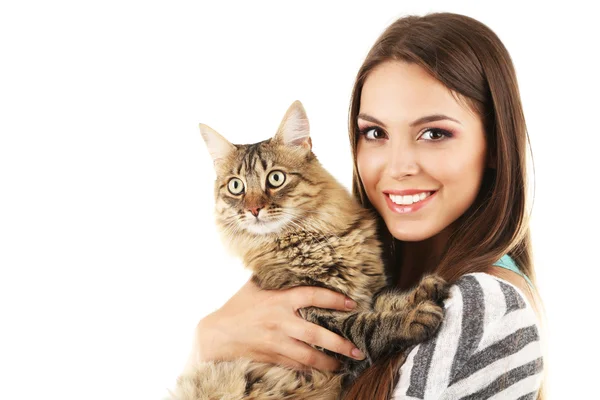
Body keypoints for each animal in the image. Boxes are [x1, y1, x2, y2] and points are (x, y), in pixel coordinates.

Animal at [170, 101, 450, 398]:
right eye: (236, 186)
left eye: (276, 178)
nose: (253, 209)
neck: (313, 241)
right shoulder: (318, 322)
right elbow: (366, 325)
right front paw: (414, 318)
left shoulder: (368, 291)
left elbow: (385, 301)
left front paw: (423, 290)